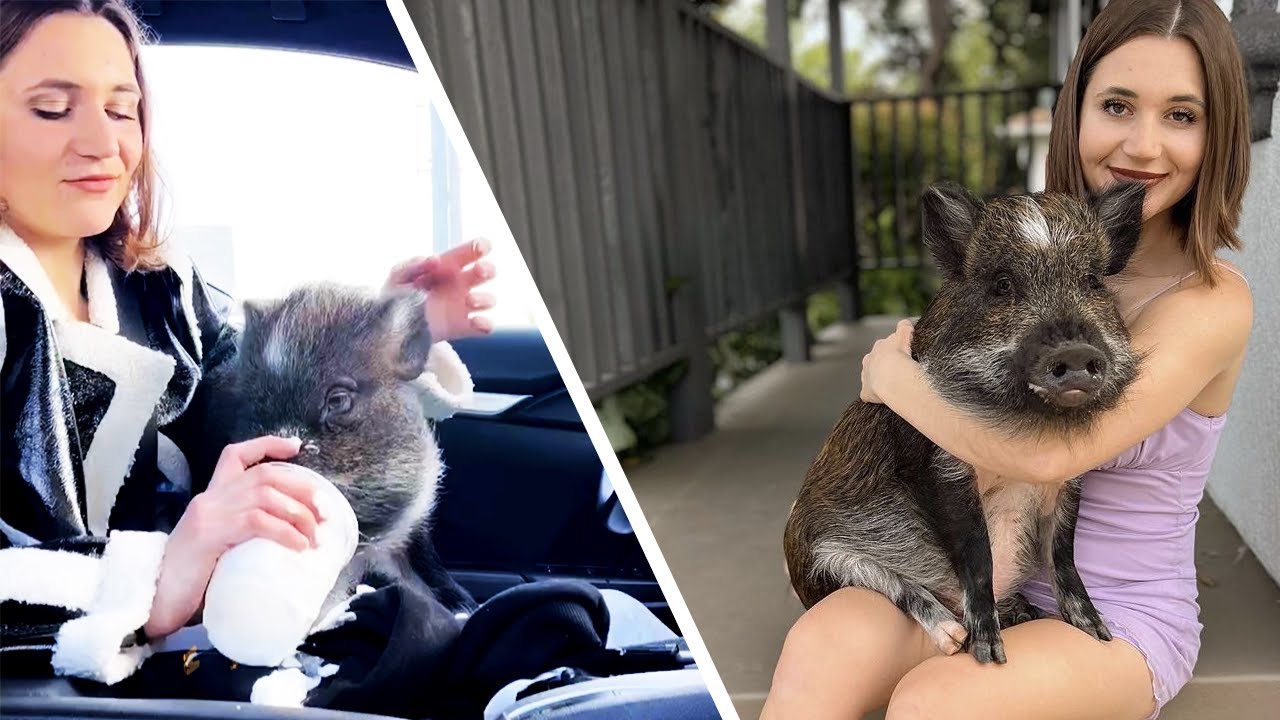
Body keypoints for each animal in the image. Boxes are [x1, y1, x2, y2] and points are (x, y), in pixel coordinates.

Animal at [783, 180, 1146, 664]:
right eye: (1002, 284)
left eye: (1092, 280)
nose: (1073, 352)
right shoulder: (943, 465)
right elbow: (979, 555)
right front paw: (989, 655)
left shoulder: (1070, 478)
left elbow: (1063, 553)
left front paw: (1097, 633)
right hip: (820, 559)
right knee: (898, 587)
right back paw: (954, 637)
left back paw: (1022, 613)